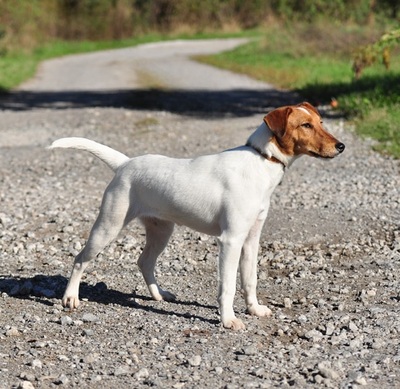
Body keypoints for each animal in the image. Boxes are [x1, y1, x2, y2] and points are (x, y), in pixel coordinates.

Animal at [49, 102, 344, 328]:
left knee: (145, 262)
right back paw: (70, 298)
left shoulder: (251, 239)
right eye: (305, 126)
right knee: (80, 259)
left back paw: (159, 295)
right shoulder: (231, 240)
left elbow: (250, 279)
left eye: (321, 122)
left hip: (162, 230)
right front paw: (228, 320)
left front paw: (255, 309)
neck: (261, 160)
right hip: (108, 226)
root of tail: (125, 164)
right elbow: (228, 286)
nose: (341, 146)